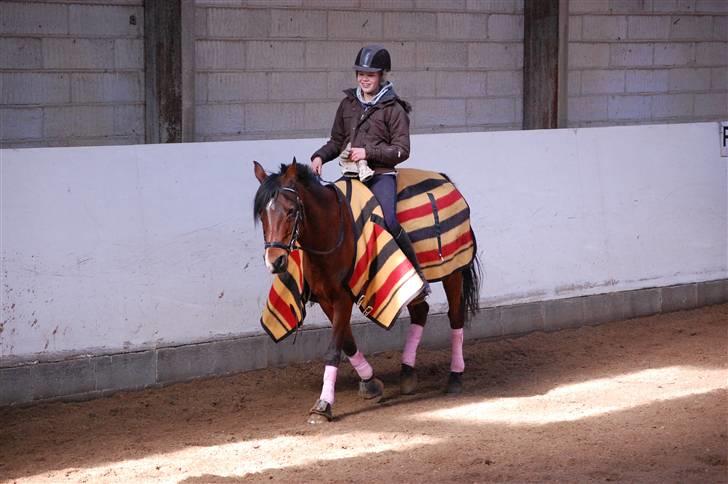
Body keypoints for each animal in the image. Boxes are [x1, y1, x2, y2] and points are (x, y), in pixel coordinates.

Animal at [253, 159, 481, 424]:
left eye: (291, 211)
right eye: (262, 214)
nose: (275, 261)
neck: (331, 231)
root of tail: (446, 179)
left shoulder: (342, 297)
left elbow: (334, 349)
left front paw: (323, 405)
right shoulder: (326, 298)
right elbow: (347, 342)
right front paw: (370, 382)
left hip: (453, 271)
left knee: (455, 317)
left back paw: (455, 376)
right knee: (420, 311)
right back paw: (407, 373)